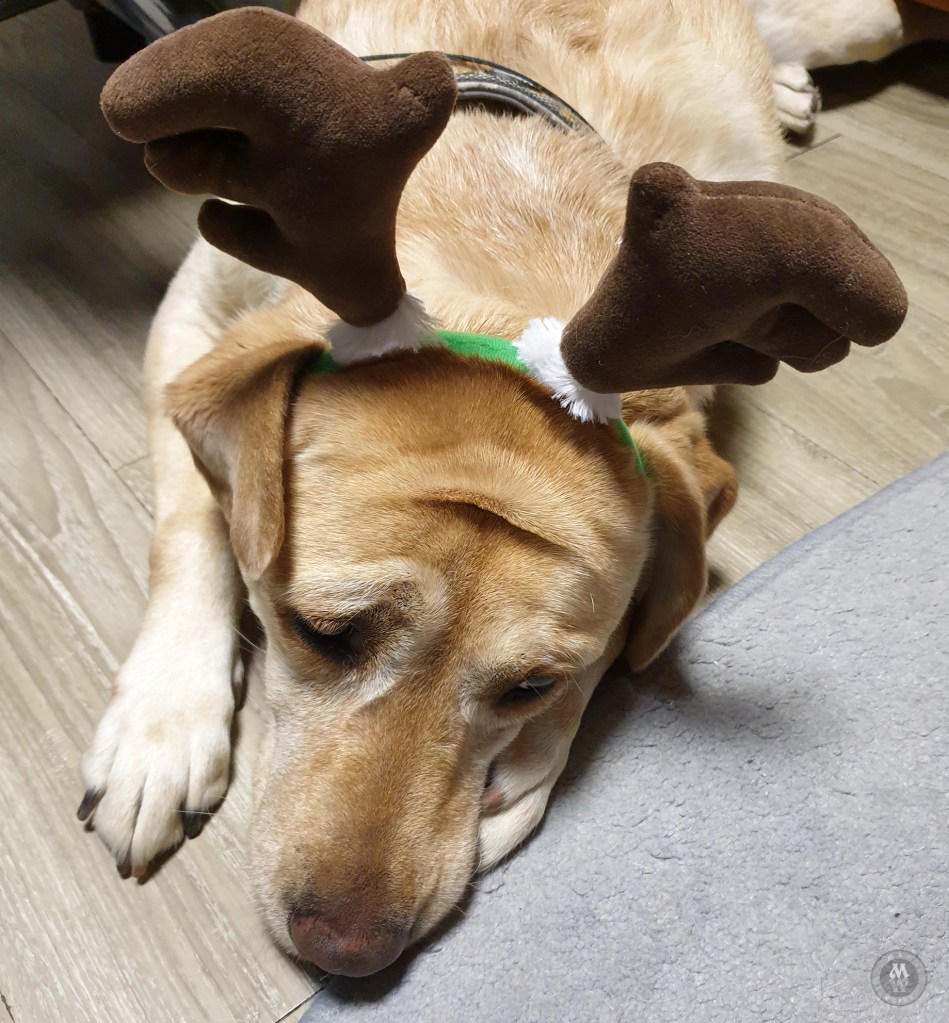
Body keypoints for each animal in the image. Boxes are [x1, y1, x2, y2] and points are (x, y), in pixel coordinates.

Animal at [79, 0, 908, 977]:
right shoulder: (191, 316)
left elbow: (631, 625)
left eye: (529, 685)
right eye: (319, 634)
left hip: (856, 28)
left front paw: (524, 769)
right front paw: (162, 726)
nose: (348, 951)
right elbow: (190, 521)